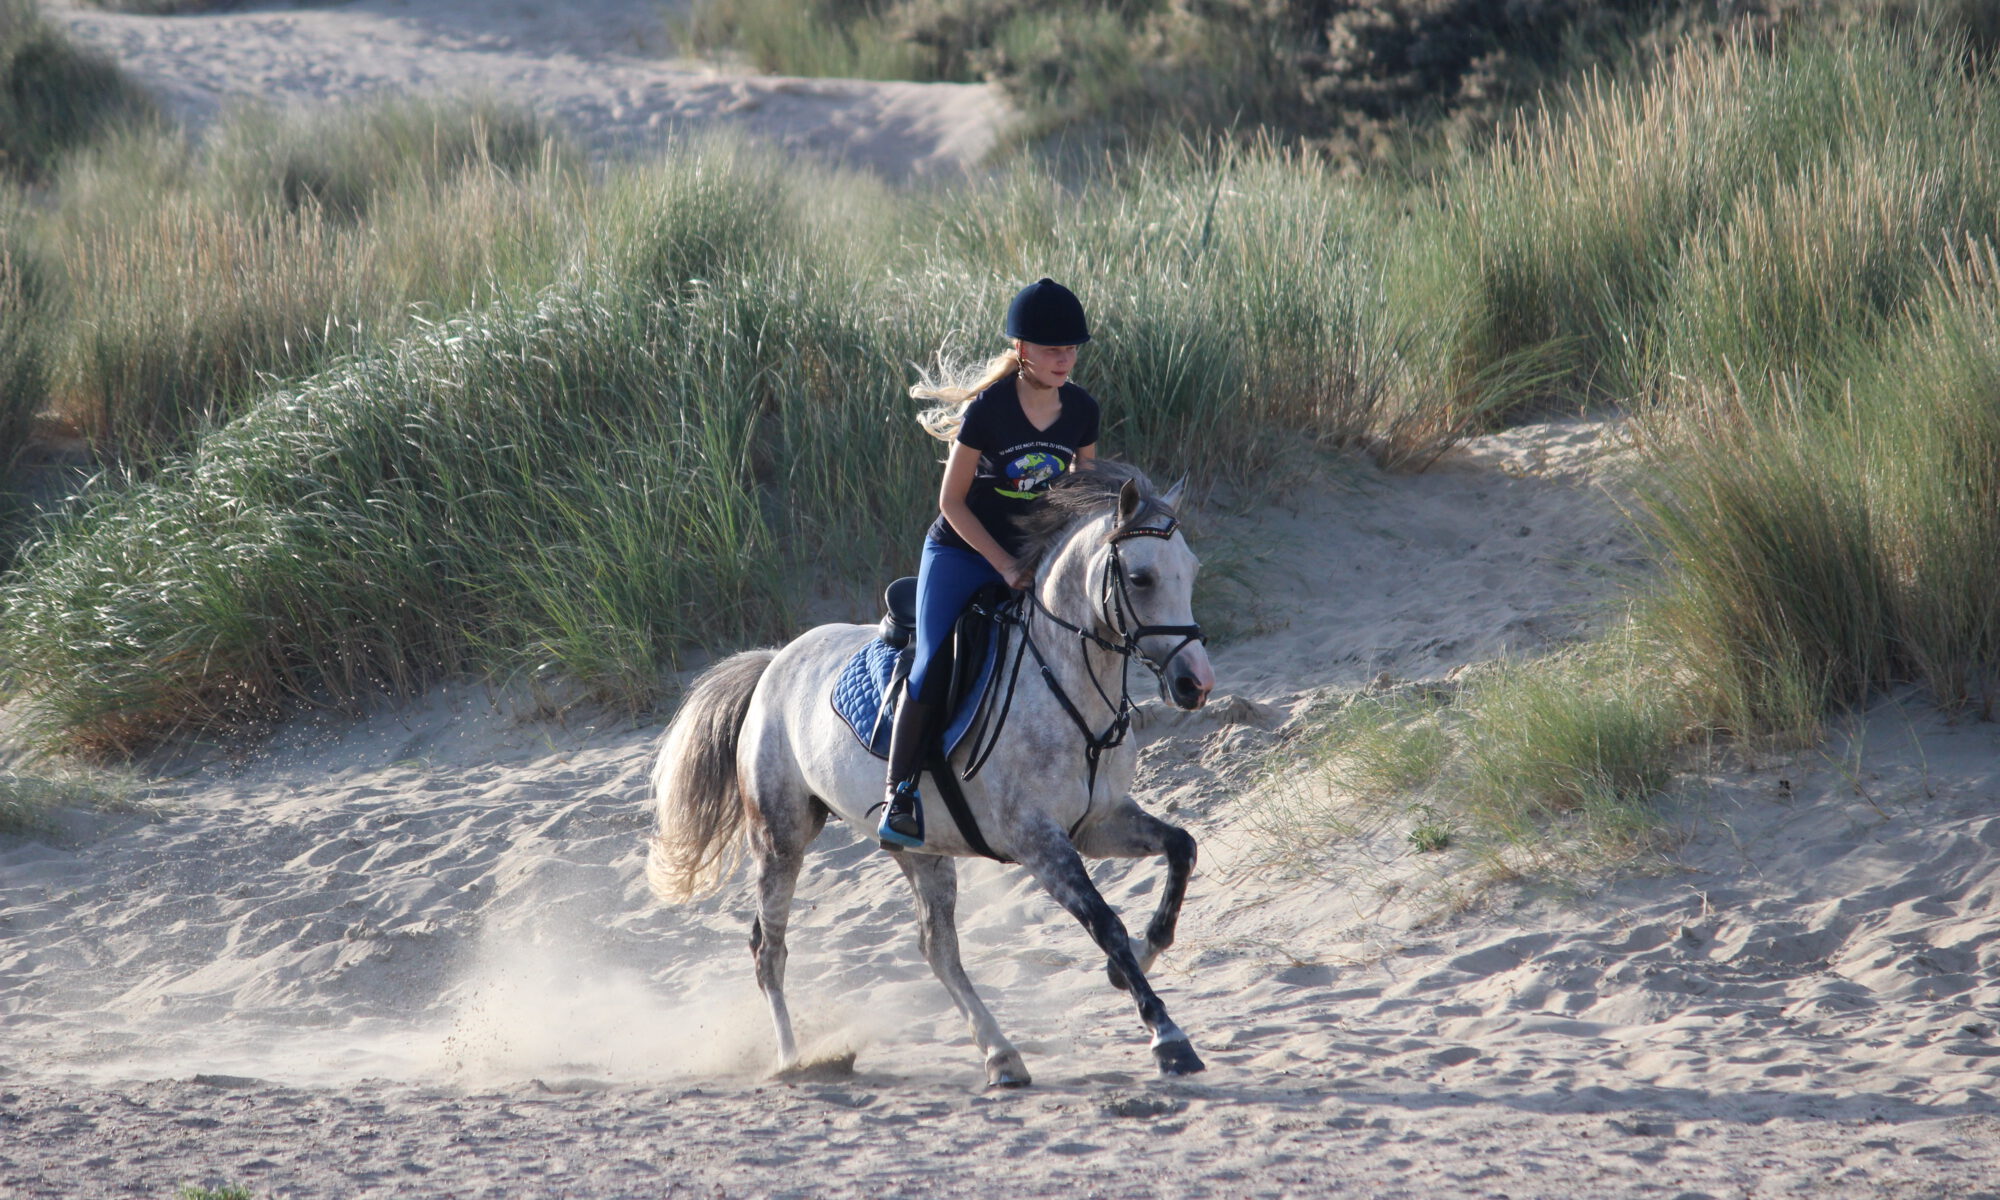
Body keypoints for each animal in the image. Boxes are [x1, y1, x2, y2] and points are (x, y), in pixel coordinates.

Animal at [652, 468, 1216, 1088]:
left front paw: (1140, 956)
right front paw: (1168, 1037)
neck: (1064, 683)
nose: (1195, 685)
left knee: (936, 947)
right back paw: (794, 1060)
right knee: (768, 949)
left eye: (1192, 571)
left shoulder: (1099, 823)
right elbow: (1106, 924)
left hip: (921, 850)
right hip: (781, 837)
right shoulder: (1038, 842)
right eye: (1140, 578)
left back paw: (1001, 1054)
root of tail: (774, 661)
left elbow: (1181, 848)